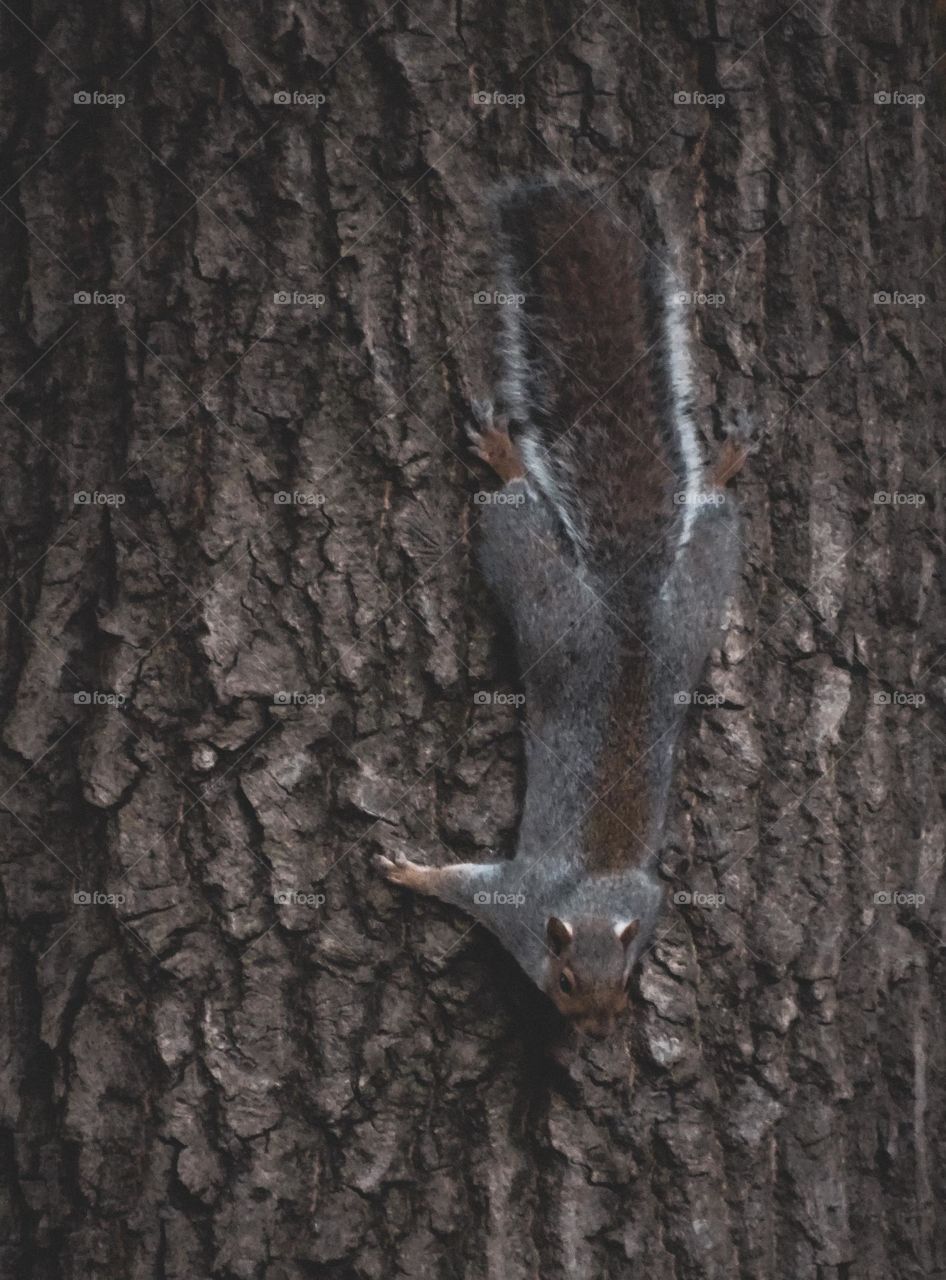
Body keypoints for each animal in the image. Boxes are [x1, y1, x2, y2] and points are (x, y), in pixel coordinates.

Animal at [376, 177, 746, 1039]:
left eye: (631, 974)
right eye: (569, 978)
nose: (597, 1031)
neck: (598, 898)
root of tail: (632, 608)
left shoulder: (647, 901)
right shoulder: (516, 903)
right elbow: (466, 888)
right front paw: (413, 873)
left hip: (692, 605)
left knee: (706, 523)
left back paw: (715, 468)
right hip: (550, 599)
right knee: (516, 511)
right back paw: (510, 457)